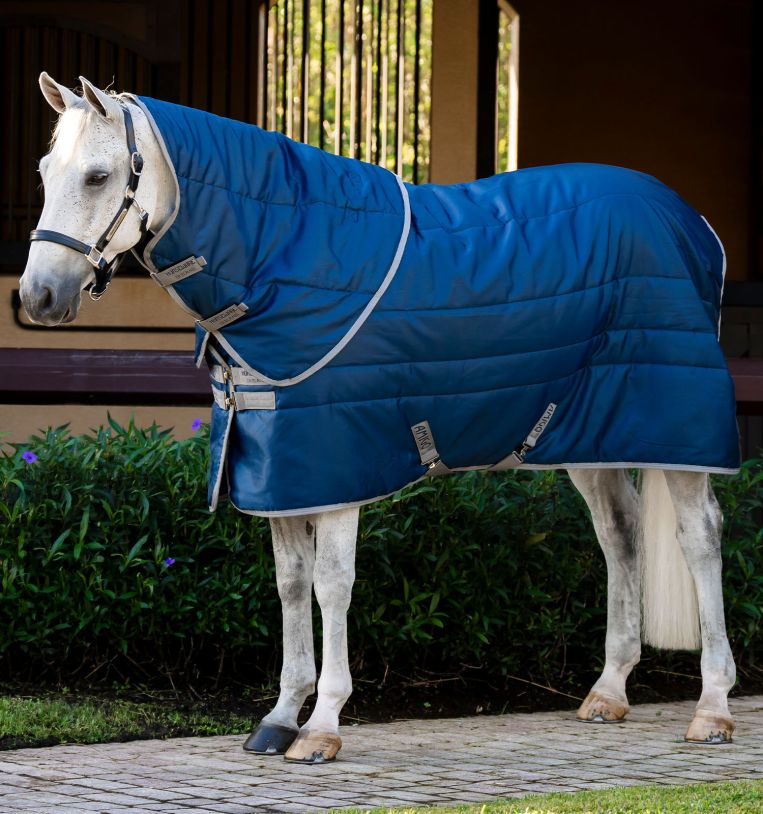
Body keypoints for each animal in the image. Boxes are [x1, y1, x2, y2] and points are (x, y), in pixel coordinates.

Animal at [20, 73, 739, 763]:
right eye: (45, 171)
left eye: (98, 176)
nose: (38, 296)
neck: (279, 255)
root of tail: (695, 223)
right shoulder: (280, 468)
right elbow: (290, 585)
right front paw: (280, 717)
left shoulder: (336, 467)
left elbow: (331, 586)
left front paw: (322, 728)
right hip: (587, 433)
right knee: (619, 534)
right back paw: (608, 691)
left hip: (676, 430)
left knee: (699, 538)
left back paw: (712, 709)